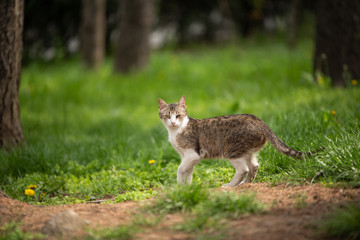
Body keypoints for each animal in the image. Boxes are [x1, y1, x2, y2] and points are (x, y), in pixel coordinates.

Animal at [158, 96, 318, 188]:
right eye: (167, 116)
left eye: (178, 115)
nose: (173, 122)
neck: (176, 131)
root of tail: (258, 120)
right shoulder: (186, 157)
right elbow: (188, 172)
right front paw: (186, 187)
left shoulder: (192, 154)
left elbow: (180, 169)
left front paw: (180, 184)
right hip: (247, 150)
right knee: (254, 166)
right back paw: (246, 184)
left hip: (232, 149)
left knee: (243, 169)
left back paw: (230, 185)